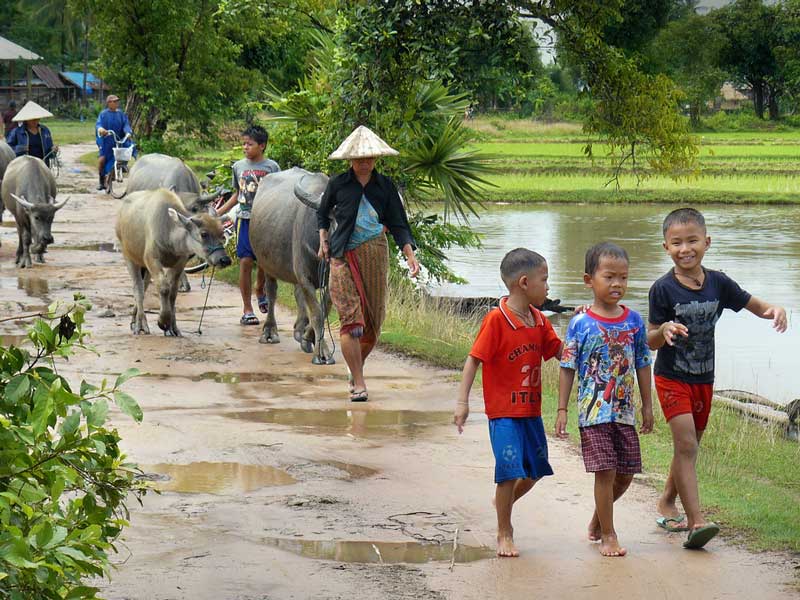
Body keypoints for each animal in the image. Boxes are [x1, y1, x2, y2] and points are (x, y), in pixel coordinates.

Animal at [117, 189, 233, 338]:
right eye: (204, 234)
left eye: (222, 234)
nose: (224, 260)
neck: (169, 233)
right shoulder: (153, 260)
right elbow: (164, 288)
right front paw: (163, 321)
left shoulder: (179, 264)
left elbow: (173, 293)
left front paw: (173, 327)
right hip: (130, 258)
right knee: (138, 290)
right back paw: (140, 326)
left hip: (146, 268)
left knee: (144, 287)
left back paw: (135, 320)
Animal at [252, 165, 336, 366]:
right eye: (333, 218)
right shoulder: (304, 276)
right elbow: (317, 312)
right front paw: (321, 352)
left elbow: (324, 308)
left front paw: (308, 338)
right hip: (267, 265)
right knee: (271, 292)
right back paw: (270, 332)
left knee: (297, 294)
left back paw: (299, 329)